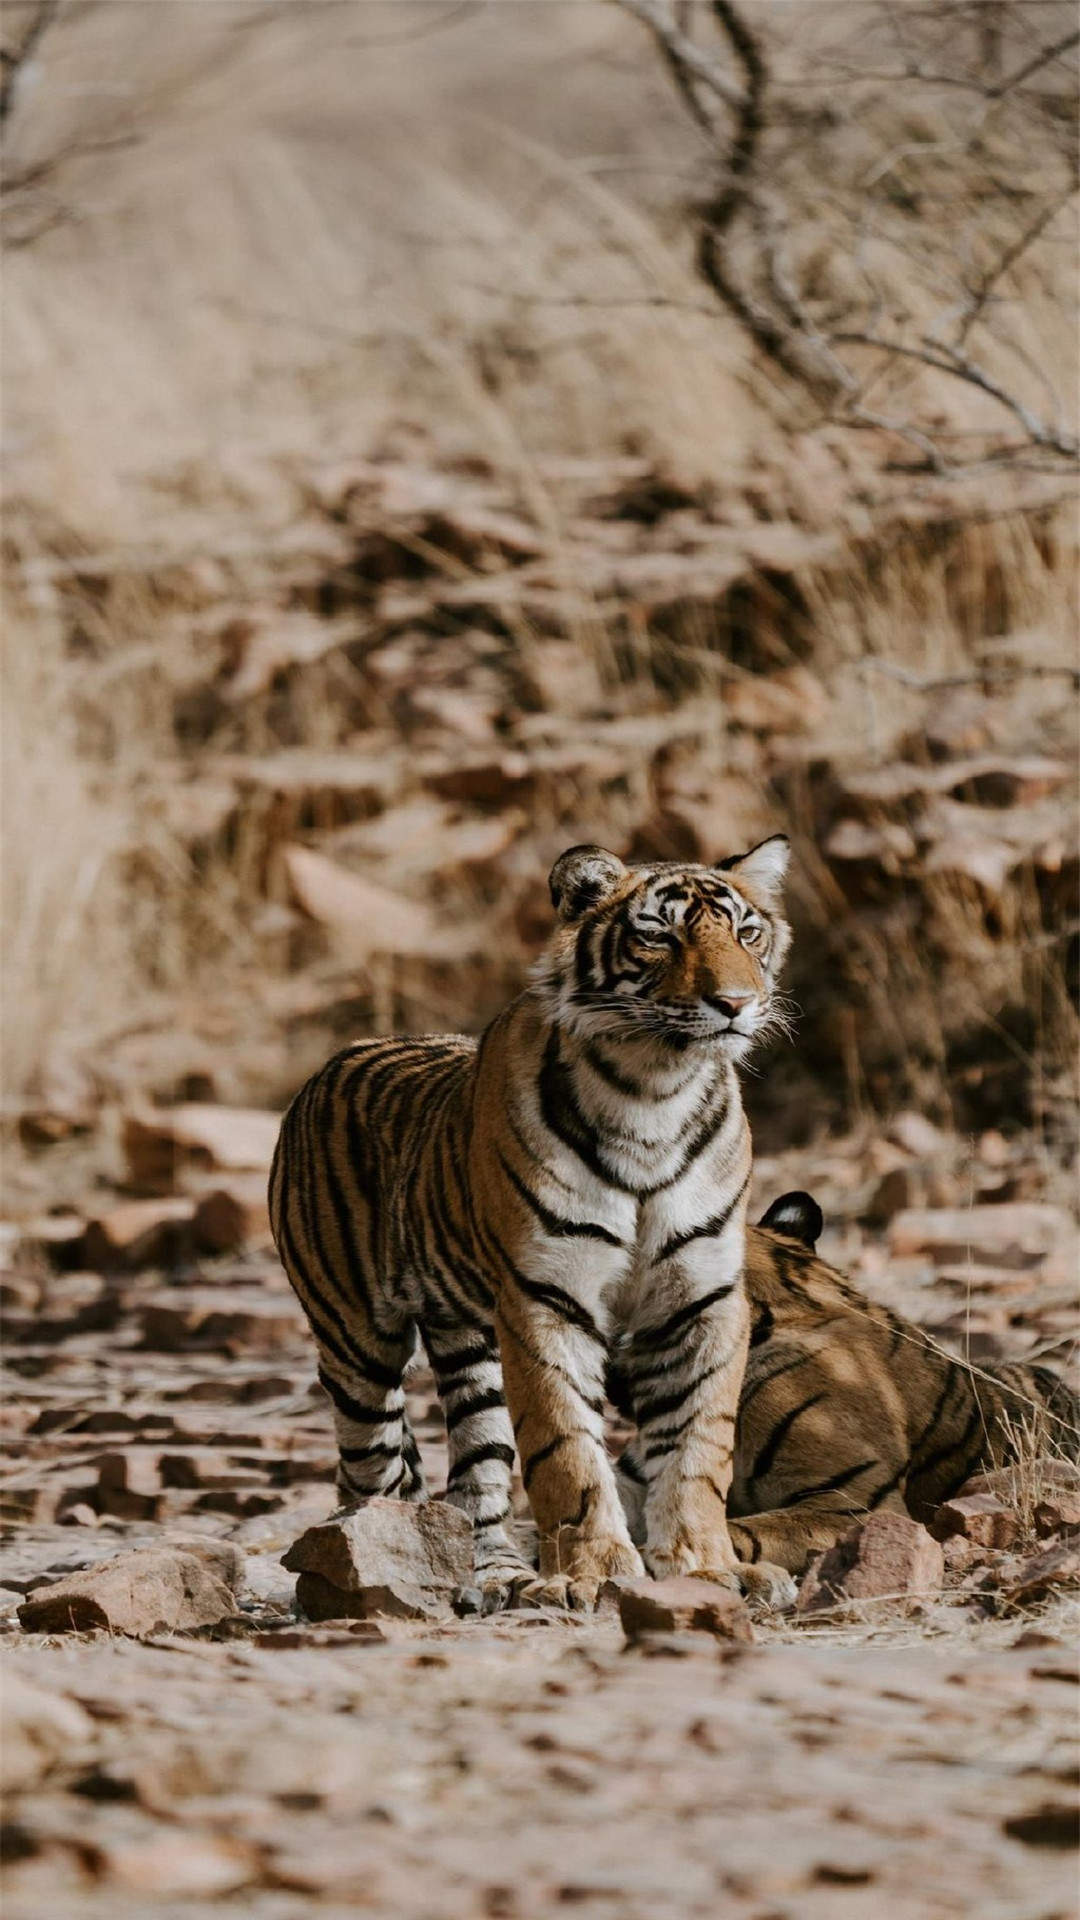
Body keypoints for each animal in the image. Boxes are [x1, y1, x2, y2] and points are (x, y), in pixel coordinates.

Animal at [269, 834, 794, 1606]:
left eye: (747, 933)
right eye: (659, 936)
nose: (735, 1003)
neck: (657, 1093)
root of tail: (329, 1064)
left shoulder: (700, 1296)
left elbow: (699, 1444)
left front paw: (706, 1566)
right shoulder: (545, 1297)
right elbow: (565, 1448)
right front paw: (596, 1574)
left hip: (472, 1348)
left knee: (477, 1473)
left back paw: (499, 1579)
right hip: (356, 1345)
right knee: (367, 1471)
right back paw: (373, 1570)